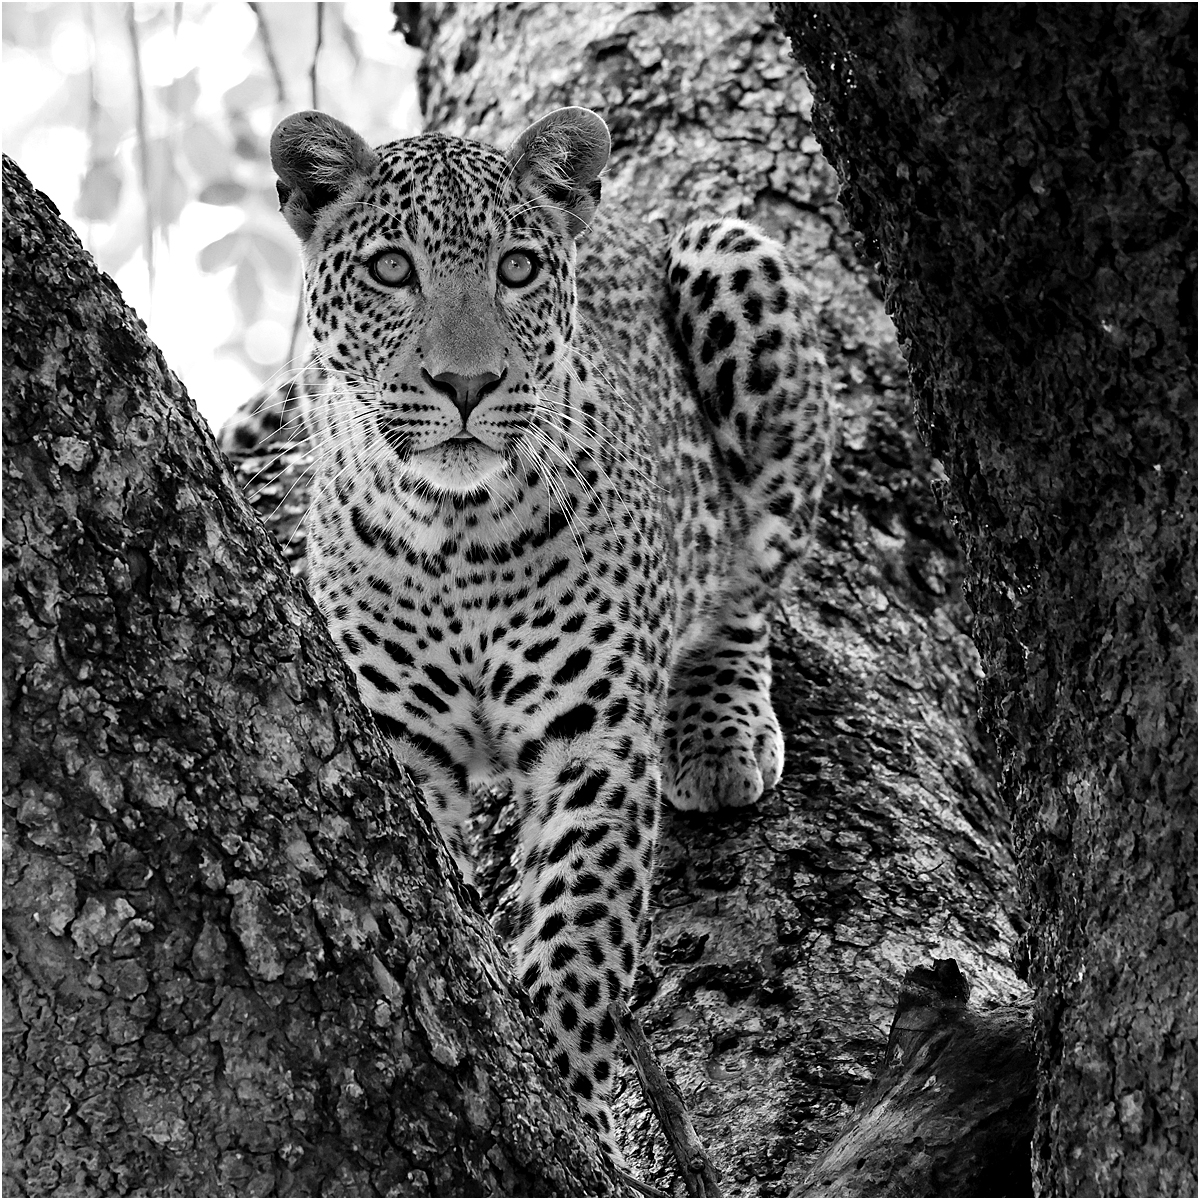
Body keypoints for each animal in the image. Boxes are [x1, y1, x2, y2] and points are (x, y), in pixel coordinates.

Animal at [222, 105, 836, 1160]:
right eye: (392, 269)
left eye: (515, 268)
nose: (465, 384)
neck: (459, 535)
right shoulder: (394, 746)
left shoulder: (594, 741)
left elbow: (579, 942)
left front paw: (579, 1112)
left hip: (735, 262)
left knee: (751, 573)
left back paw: (718, 731)